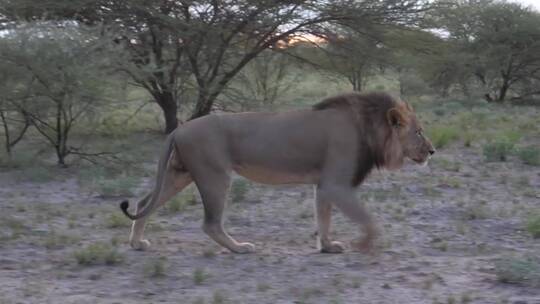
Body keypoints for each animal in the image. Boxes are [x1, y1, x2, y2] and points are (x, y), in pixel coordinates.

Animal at [119, 92, 434, 254]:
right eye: (419, 132)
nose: (432, 151)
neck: (369, 128)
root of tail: (178, 128)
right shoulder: (337, 185)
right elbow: (369, 220)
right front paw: (364, 244)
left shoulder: (324, 185)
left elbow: (324, 217)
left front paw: (327, 246)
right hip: (215, 175)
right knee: (210, 223)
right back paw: (240, 248)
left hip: (180, 174)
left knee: (144, 203)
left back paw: (136, 243)